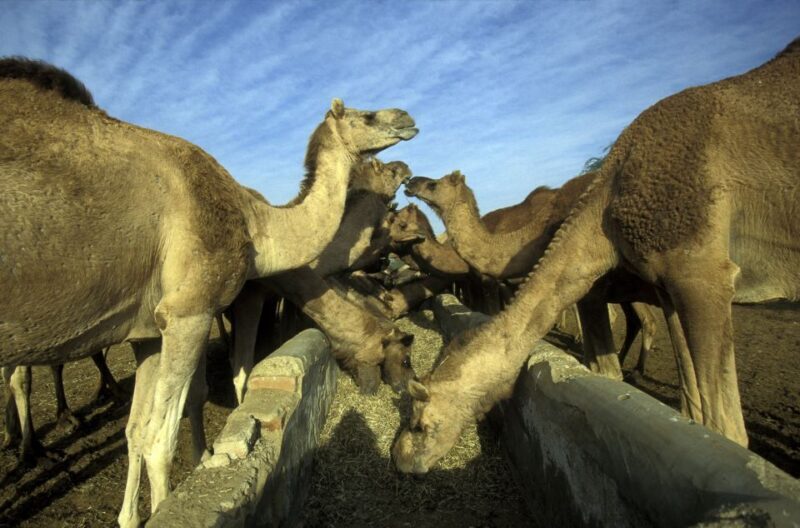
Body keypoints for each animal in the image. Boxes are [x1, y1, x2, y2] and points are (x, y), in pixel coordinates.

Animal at [0, 57, 417, 526]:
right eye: (368, 116)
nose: (407, 119)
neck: (257, 227)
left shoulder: (149, 332)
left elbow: (137, 431)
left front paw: (130, 517)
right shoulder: (193, 311)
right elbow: (169, 433)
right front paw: (194, 473)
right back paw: (32, 446)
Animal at [393, 37, 800, 473]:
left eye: (419, 423)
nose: (399, 458)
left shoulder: (696, 273)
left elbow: (719, 425)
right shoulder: (665, 285)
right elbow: (690, 405)